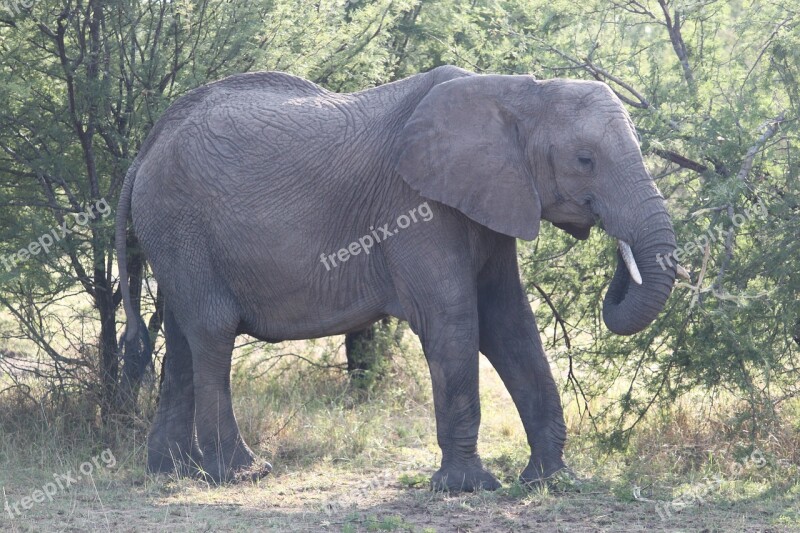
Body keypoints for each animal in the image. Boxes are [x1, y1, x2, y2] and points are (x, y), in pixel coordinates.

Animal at [115, 65, 680, 490]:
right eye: (585, 160)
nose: (617, 256)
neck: (514, 93)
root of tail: (142, 152)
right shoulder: (414, 207)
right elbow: (453, 321)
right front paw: (467, 488)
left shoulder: (492, 198)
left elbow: (510, 323)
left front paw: (551, 480)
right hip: (181, 225)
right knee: (212, 333)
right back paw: (241, 473)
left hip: (174, 237)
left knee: (183, 338)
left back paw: (169, 471)